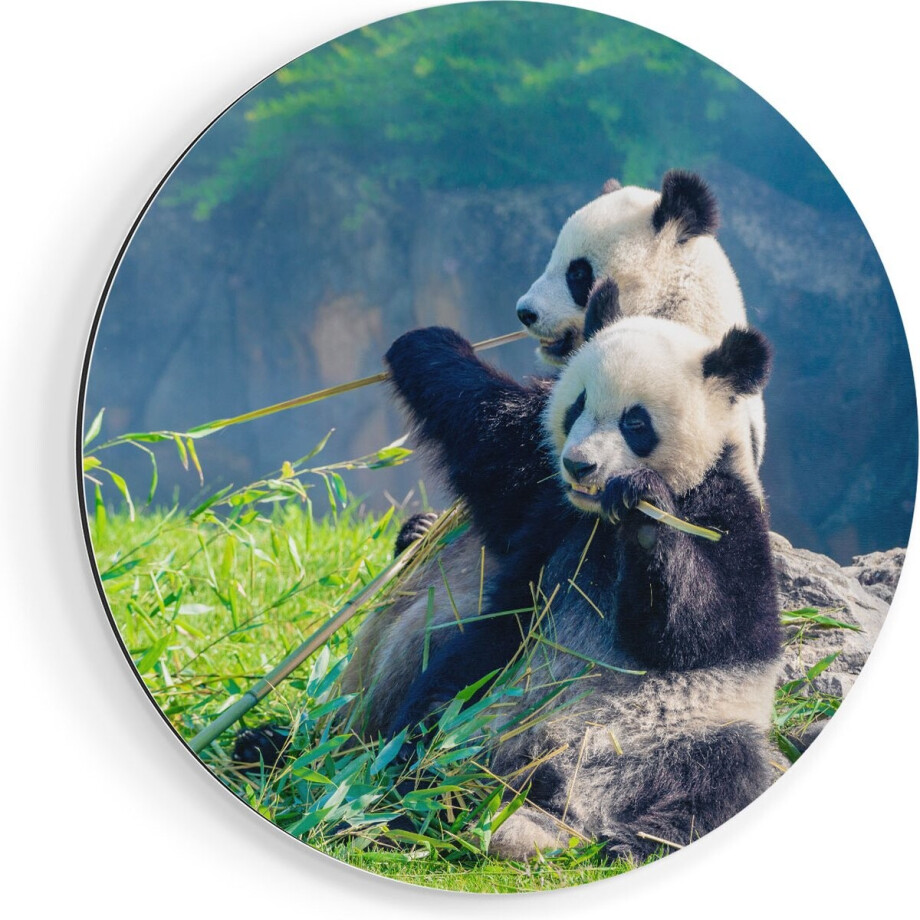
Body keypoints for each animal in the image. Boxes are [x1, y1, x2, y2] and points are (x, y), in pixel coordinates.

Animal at [381, 315, 780, 861]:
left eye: (636, 423)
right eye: (576, 407)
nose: (580, 466)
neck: (600, 521)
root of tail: (560, 793)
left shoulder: (727, 510)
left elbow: (708, 629)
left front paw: (644, 511)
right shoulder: (550, 507)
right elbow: (493, 435)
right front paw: (424, 343)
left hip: (686, 730)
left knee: (724, 776)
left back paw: (634, 841)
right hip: (490, 694)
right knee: (435, 713)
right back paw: (412, 795)